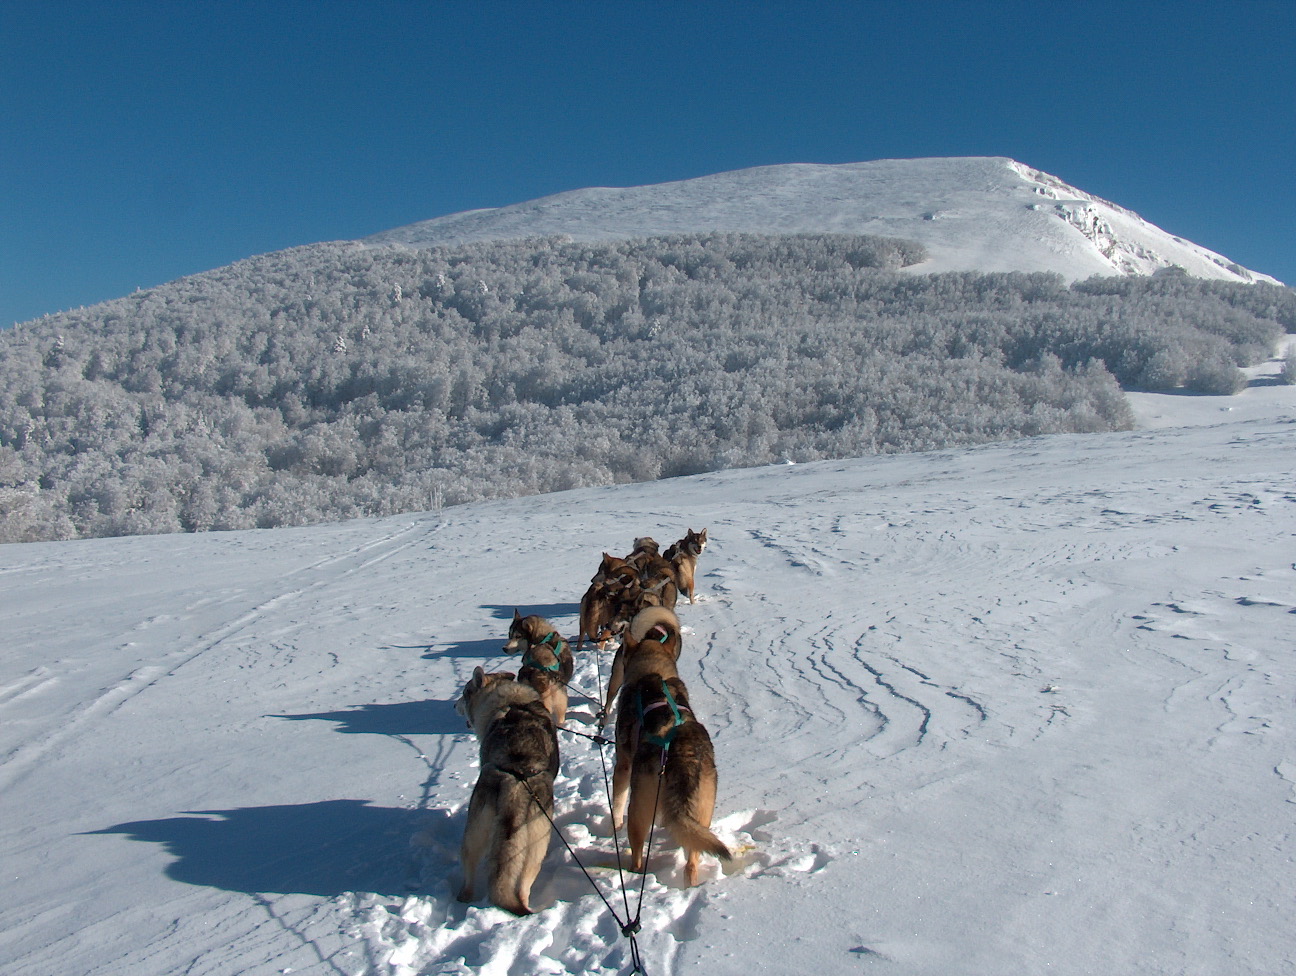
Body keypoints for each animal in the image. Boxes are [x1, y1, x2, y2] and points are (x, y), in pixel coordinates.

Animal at [456, 668, 557, 912]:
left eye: (464, 693)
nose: (454, 705)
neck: (512, 702)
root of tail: (515, 779)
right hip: (534, 846)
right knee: (521, 888)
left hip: (477, 832)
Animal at [609, 668, 725, 886]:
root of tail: (681, 750)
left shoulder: (623, 765)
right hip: (702, 812)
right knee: (692, 860)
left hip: (639, 806)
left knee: (638, 854)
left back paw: (633, 874)